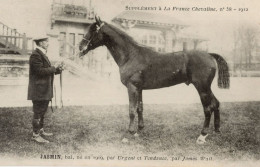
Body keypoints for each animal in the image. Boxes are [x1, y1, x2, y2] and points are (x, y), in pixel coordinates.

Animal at [79, 17, 230, 145]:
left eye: (93, 30)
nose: (80, 47)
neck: (131, 55)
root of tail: (209, 54)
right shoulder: (139, 88)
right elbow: (140, 108)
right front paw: (138, 131)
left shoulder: (132, 87)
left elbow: (131, 110)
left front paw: (128, 134)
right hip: (206, 88)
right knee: (216, 103)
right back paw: (216, 130)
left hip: (202, 88)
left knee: (208, 108)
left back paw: (202, 136)